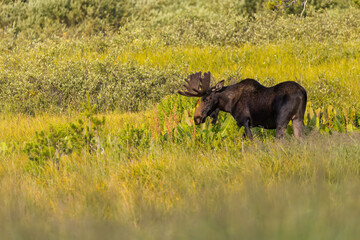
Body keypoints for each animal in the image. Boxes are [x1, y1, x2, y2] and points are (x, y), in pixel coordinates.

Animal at [177, 71, 306, 139]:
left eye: (207, 98)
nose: (197, 118)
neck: (229, 104)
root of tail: (302, 93)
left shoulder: (244, 121)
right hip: (298, 118)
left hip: (282, 121)